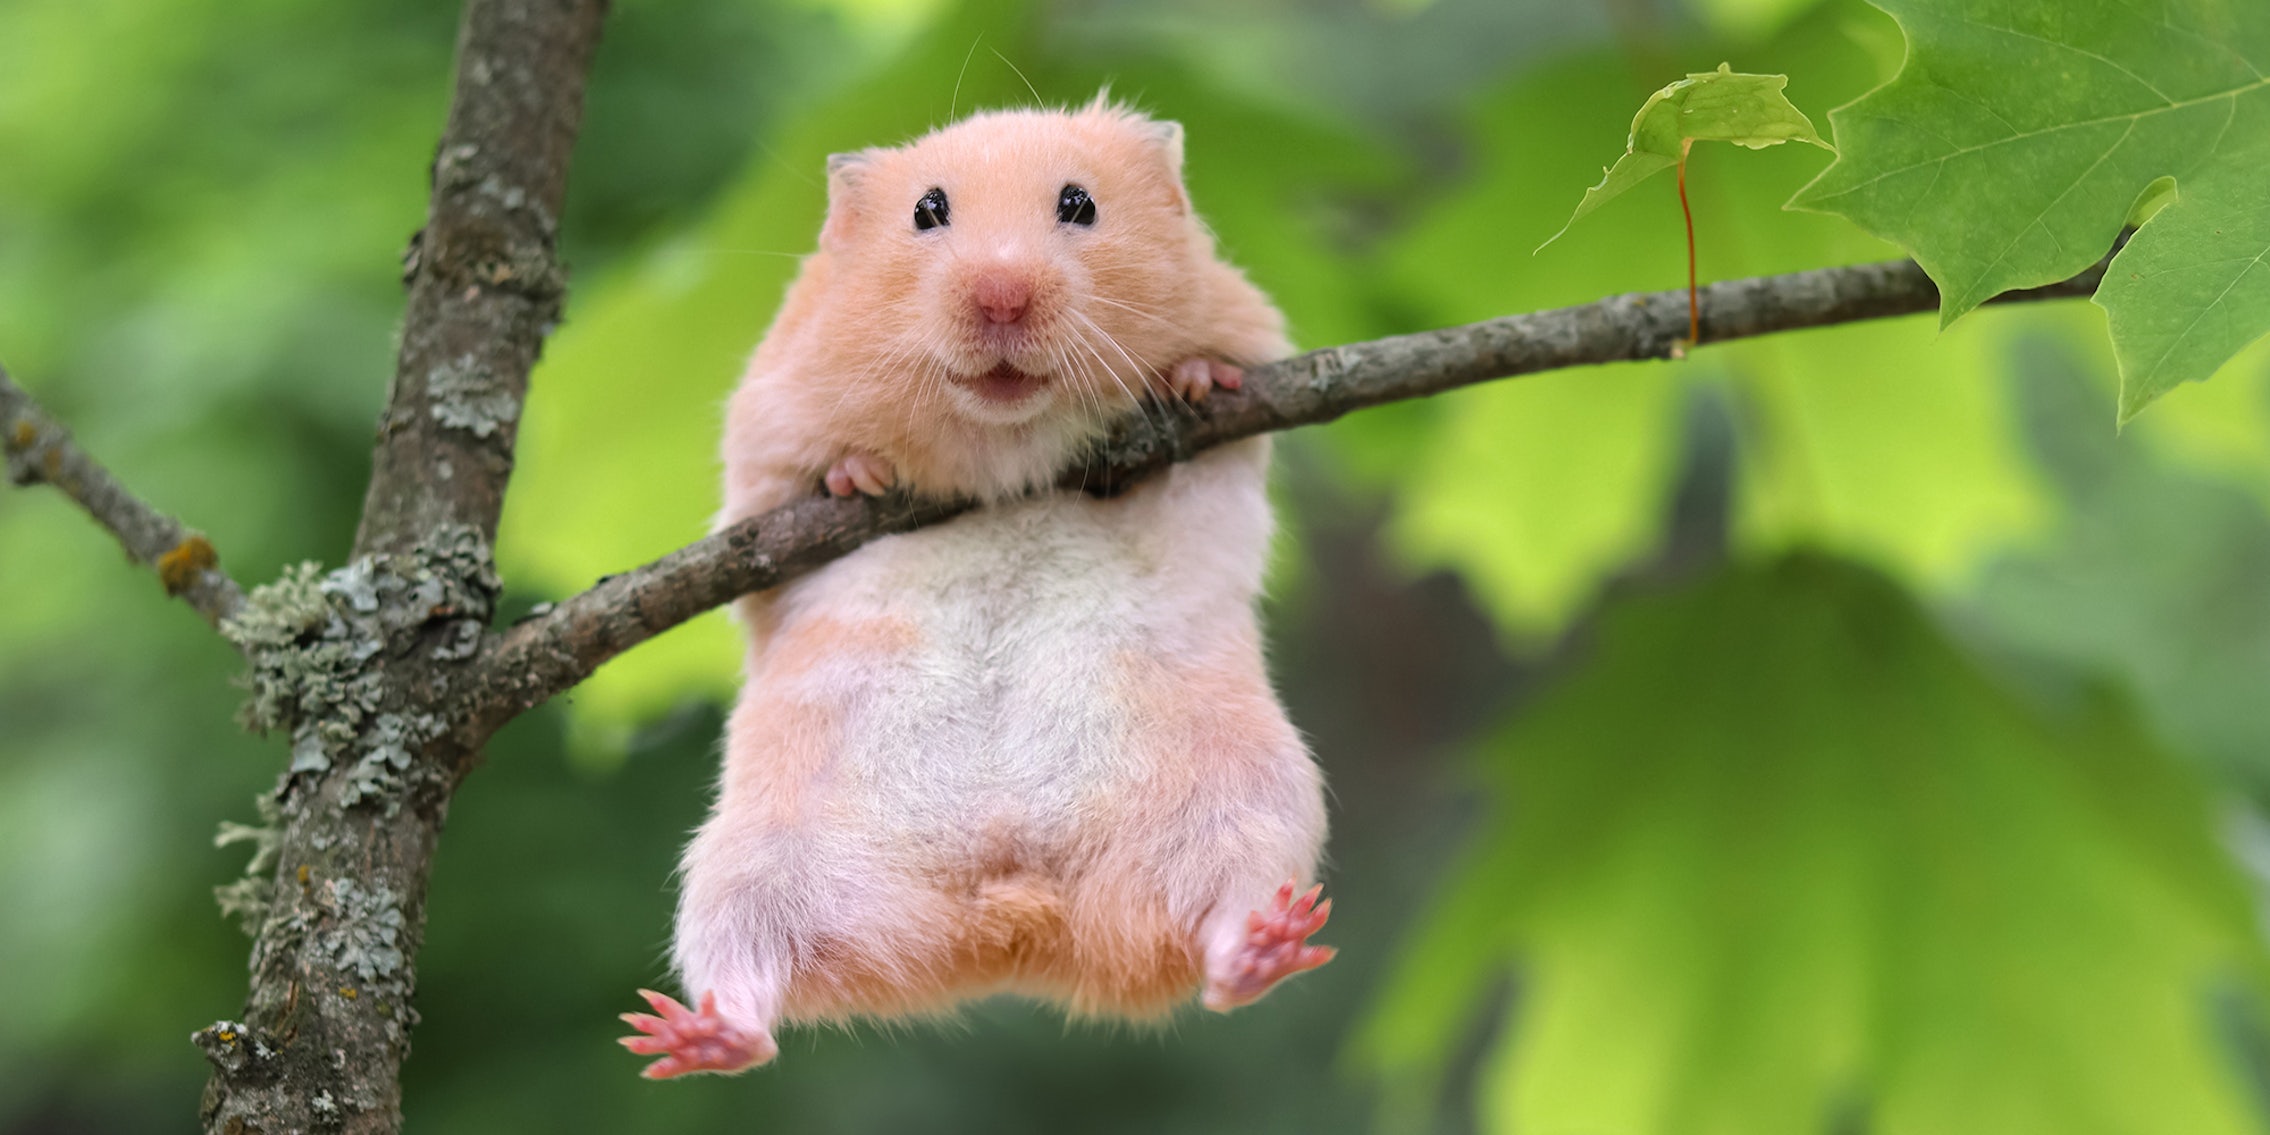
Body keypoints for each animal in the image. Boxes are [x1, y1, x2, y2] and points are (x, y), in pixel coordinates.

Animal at [619, 96, 1332, 1078]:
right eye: (928, 211)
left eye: (1079, 203)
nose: (1001, 296)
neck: (1005, 445)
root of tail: (1009, 921)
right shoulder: (763, 436)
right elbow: (797, 478)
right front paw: (858, 475)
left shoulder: (1243, 368)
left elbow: (1212, 401)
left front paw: (1193, 378)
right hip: (746, 868)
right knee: (751, 987)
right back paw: (691, 1034)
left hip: (1253, 802)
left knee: (1222, 944)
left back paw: (1265, 946)